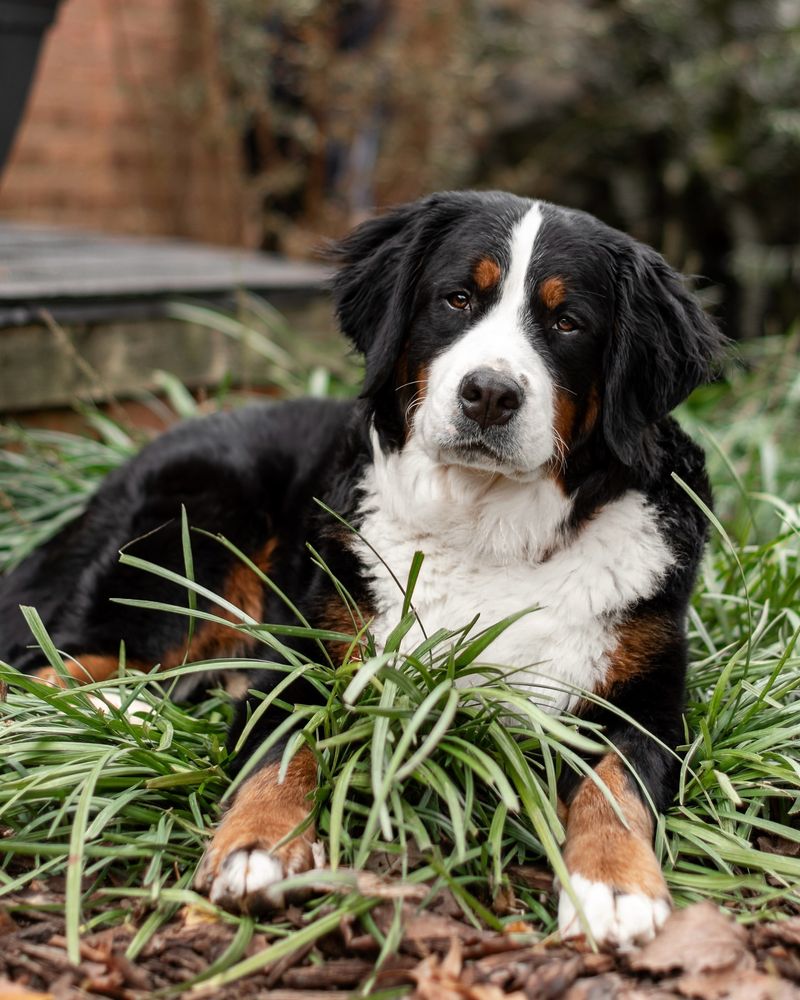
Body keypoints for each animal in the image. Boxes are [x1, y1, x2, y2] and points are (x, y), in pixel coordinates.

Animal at [0, 191, 724, 948]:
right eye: (457, 298)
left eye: (567, 322)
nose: (490, 393)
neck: (486, 534)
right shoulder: (305, 660)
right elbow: (281, 752)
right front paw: (257, 846)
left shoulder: (642, 702)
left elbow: (615, 789)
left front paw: (613, 885)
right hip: (193, 545)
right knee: (53, 667)